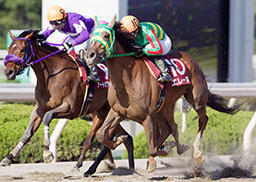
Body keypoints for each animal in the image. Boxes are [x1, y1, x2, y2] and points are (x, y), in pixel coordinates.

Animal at [1, 29, 134, 173]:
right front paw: (8, 158)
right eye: (9, 49)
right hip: (104, 112)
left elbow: (47, 117)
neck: (53, 74)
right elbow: (27, 133)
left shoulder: (70, 109)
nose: (9, 72)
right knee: (125, 138)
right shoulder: (39, 109)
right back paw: (122, 167)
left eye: (22, 49)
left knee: (99, 140)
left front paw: (47, 153)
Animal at [83, 16, 241, 173]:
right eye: (91, 36)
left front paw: (166, 149)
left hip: (196, 98)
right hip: (164, 106)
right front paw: (119, 140)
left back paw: (197, 154)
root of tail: (191, 59)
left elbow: (153, 148)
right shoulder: (118, 112)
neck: (128, 81)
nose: (89, 55)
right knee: (170, 127)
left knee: (202, 120)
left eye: (106, 35)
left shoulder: (146, 117)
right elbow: (101, 134)